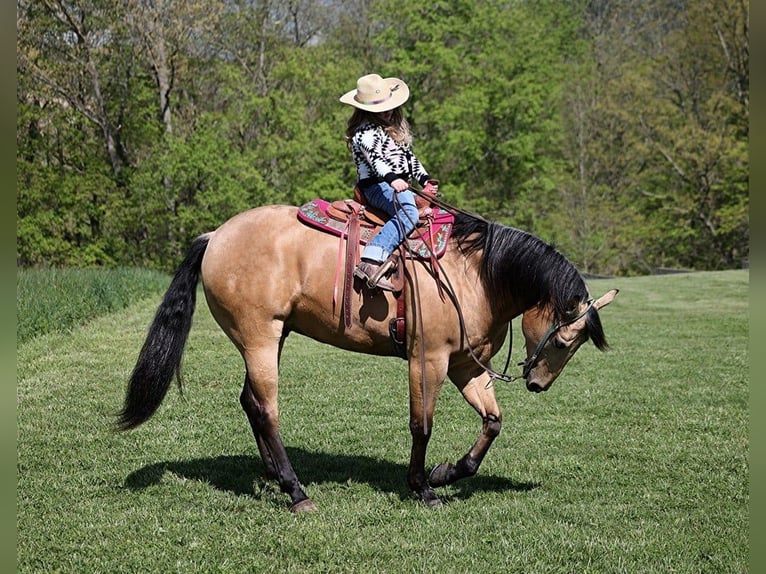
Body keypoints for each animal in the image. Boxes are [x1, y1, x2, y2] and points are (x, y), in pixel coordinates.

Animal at [121, 201, 624, 512]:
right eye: (564, 341)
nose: (537, 383)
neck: (475, 274)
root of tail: (216, 235)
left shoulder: (465, 365)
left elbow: (492, 423)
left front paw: (447, 472)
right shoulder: (428, 360)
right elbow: (422, 425)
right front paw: (422, 487)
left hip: (272, 337)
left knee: (250, 402)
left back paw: (273, 474)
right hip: (259, 337)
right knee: (266, 409)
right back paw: (296, 491)